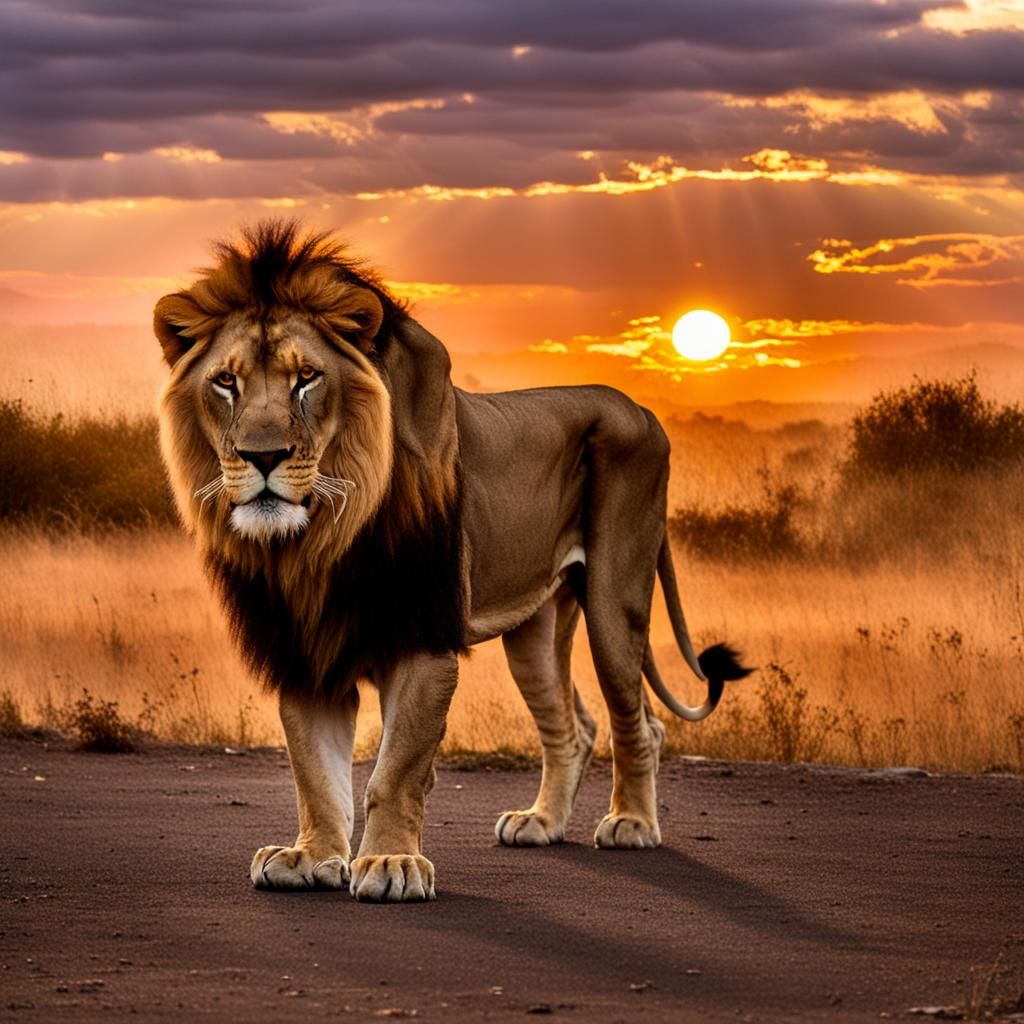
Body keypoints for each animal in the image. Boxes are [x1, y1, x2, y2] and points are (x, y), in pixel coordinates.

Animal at [154, 221, 751, 902]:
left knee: (638, 722)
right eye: (226, 382)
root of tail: (646, 411)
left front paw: (390, 863)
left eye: (306, 377)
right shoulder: (303, 650)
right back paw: (540, 822)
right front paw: (311, 856)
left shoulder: (424, 636)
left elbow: (396, 770)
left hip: (612, 599)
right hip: (535, 631)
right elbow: (314, 771)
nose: (263, 456)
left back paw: (632, 823)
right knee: (571, 727)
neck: (321, 542)